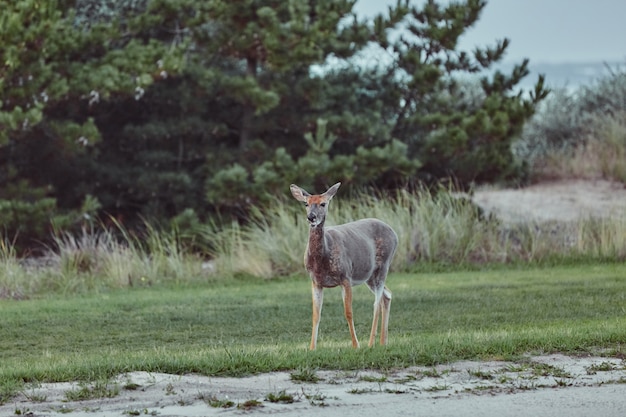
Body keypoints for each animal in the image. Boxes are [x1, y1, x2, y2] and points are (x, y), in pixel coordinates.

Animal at [288, 181, 398, 348]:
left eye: (323, 203)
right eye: (306, 204)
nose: (311, 217)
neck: (323, 259)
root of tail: (395, 234)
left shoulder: (346, 277)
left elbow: (348, 312)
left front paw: (356, 345)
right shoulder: (316, 281)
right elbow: (316, 315)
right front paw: (312, 348)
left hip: (383, 265)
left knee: (376, 303)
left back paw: (370, 343)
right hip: (369, 276)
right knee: (387, 295)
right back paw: (383, 342)